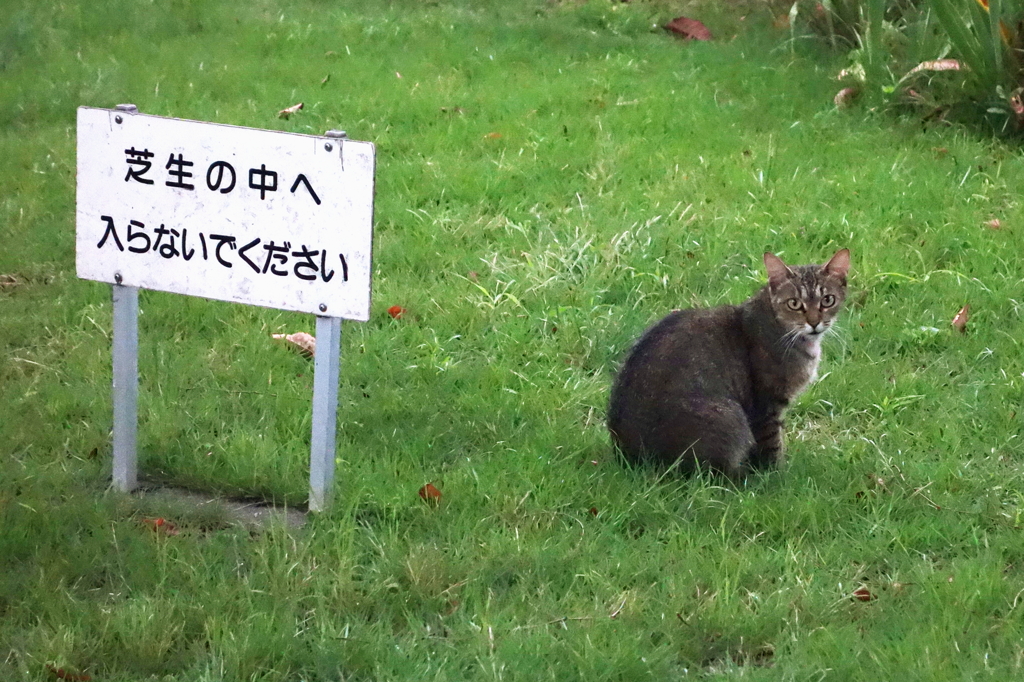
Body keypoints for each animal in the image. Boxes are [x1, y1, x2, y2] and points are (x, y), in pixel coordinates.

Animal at [602, 246, 851, 475]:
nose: (814, 322)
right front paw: (776, 476)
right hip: (729, 417)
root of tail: (633, 458)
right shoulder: (766, 405)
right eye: (794, 303)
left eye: (828, 300)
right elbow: (772, 445)